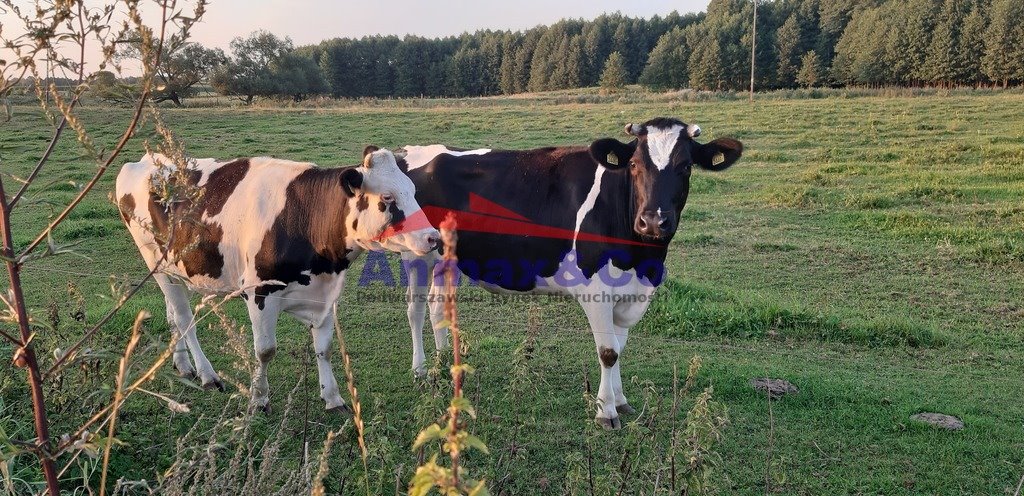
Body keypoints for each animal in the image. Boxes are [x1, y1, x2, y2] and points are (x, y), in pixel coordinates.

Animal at [117, 147, 440, 409]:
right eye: (387, 197)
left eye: (413, 190)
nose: (433, 237)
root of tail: (145, 160)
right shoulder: (259, 293)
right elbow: (265, 351)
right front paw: (259, 399)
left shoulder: (325, 295)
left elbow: (324, 348)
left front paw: (333, 398)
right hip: (154, 261)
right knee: (184, 319)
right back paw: (208, 375)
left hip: (173, 269)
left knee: (173, 315)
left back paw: (183, 365)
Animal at [395, 118, 741, 428]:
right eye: (634, 165)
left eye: (686, 167)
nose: (653, 222)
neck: (642, 261)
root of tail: (412, 151)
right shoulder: (595, 287)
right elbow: (608, 351)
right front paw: (606, 412)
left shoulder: (631, 292)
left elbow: (621, 347)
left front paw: (621, 401)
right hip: (416, 253)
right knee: (415, 309)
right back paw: (420, 370)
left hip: (446, 260)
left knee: (437, 306)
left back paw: (443, 364)